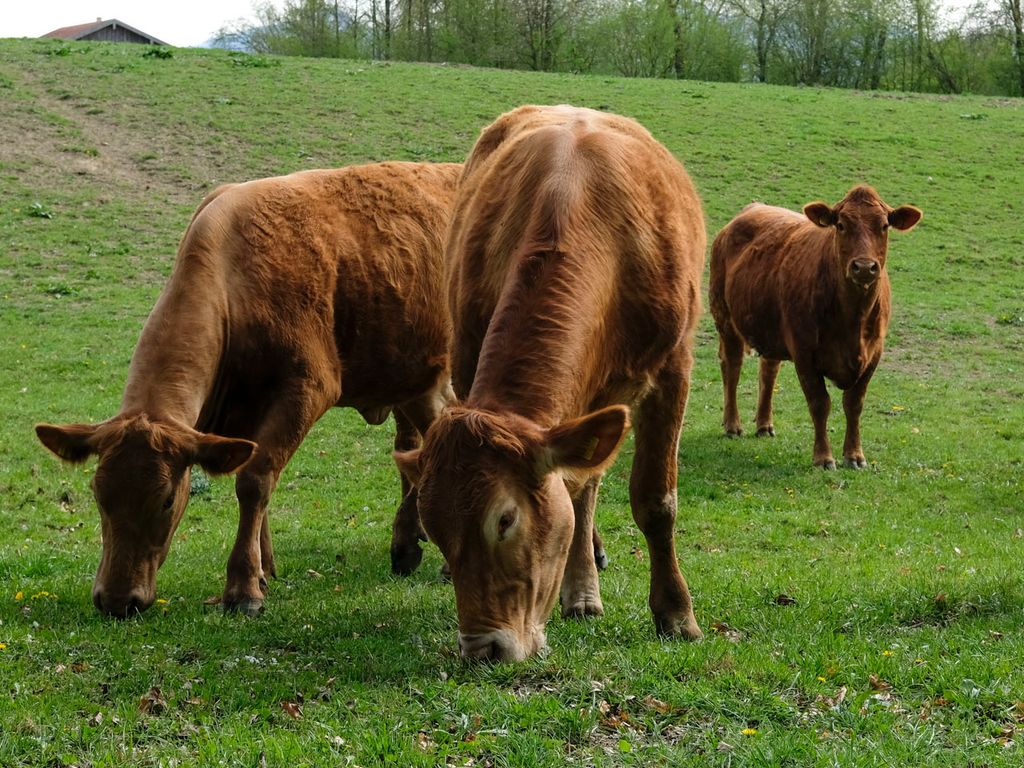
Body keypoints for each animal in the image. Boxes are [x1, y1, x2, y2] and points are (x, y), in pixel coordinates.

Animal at [35, 161, 462, 617]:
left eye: (167, 499)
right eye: (98, 494)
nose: (116, 600)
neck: (234, 283)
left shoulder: (306, 388)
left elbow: (255, 481)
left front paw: (243, 588)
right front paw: (264, 569)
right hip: (415, 378)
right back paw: (410, 544)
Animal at [394, 105, 707, 661]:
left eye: (505, 519)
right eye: (436, 526)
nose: (483, 649)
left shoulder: (673, 370)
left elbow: (655, 500)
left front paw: (676, 614)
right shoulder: (468, 359)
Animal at [709, 184, 922, 469]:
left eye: (884, 225)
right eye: (841, 225)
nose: (864, 267)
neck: (853, 319)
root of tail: (752, 209)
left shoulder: (874, 353)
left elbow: (854, 404)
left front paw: (854, 455)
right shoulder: (804, 351)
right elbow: (820, 403)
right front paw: (823, 457)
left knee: (769, 370)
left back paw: (764, 425)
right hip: (724, 316)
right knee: (732, 366)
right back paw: (733, 425)